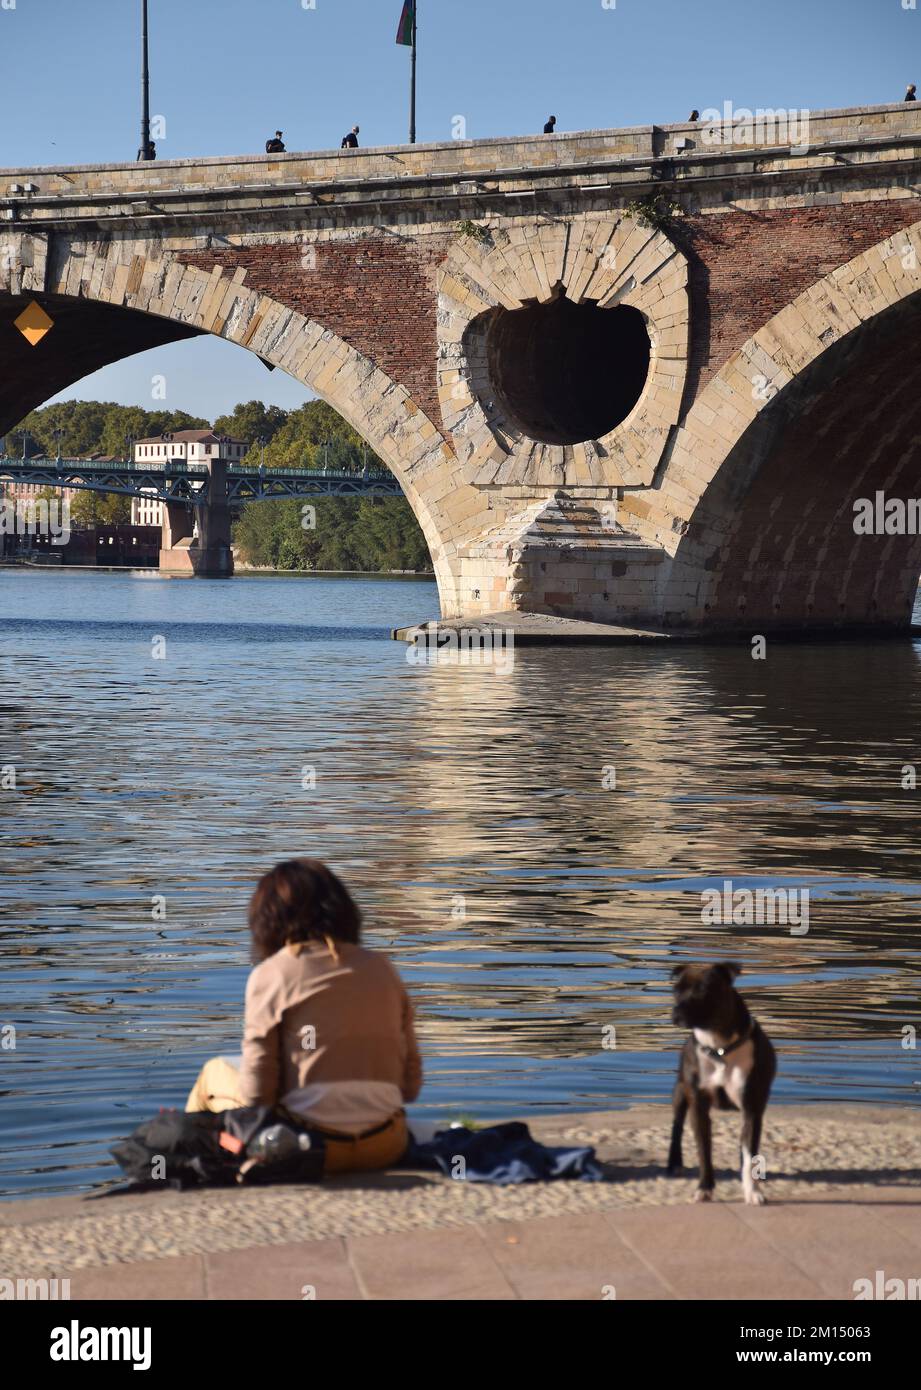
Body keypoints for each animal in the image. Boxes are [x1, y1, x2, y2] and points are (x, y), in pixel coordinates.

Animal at [666, 961, 772, 1200]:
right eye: (676, 991)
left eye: (702, 991)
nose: (676, 1012)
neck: (719, 1048)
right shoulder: (698, 1106)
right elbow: (704, 1151)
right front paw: (704, 1188)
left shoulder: (752, 1108)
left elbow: (750, 1151)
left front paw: (752, 1191)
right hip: (680, 1092)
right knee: (677, 1125)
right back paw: (674, 1163)